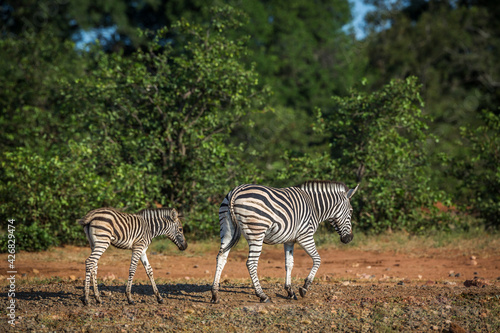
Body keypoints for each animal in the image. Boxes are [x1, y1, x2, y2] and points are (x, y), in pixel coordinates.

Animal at [211, 180, 360, 302]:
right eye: (351, 211)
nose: (349, 239)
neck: (315, 206)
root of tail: (236, 191)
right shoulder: (305, 236)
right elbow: (317, 259)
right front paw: (304, 288)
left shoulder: (289, 240)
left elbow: (289, 264)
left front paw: (290, 291)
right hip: (257, 231)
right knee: (251, 263)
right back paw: (262, 295)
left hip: (227, 230)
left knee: (221, 257)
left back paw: (215, 294)